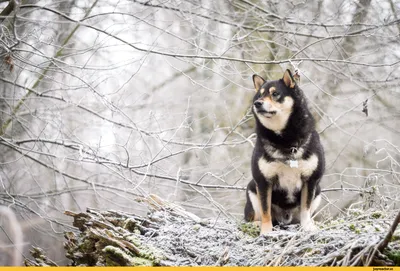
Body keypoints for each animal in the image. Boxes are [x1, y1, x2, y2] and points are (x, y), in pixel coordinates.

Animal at [244, 70, 324, 236]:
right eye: (259, 95)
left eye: (275, 94)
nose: (257, 103)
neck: (286, 141)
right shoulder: (263, 181)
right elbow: (266, 210)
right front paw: (266, 231)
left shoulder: (310, 180)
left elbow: (305, 208)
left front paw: (307, 227)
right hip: (251, 188)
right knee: (252, 217)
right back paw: (257, 224)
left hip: (318, 191)